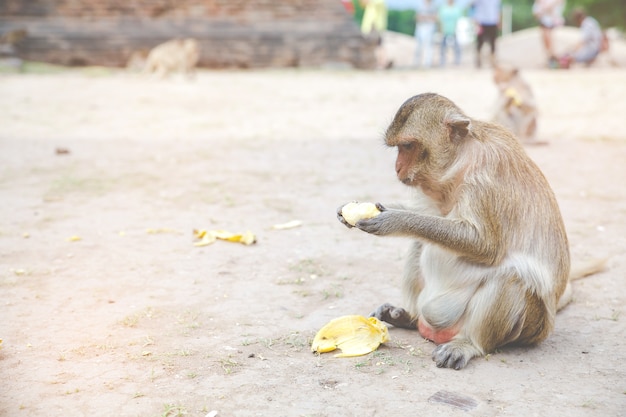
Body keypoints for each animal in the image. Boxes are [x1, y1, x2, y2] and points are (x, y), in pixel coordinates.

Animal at [336, 93, 604, 368]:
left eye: (408, 146)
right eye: (398, 148)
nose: (397, 167)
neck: (461, 162)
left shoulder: (487, 179)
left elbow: (485, 245)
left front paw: (394, 220)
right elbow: (427, 216)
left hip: (529, 328)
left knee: (512, 278)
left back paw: (469, 344)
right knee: (420, 243)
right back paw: (409, 318)